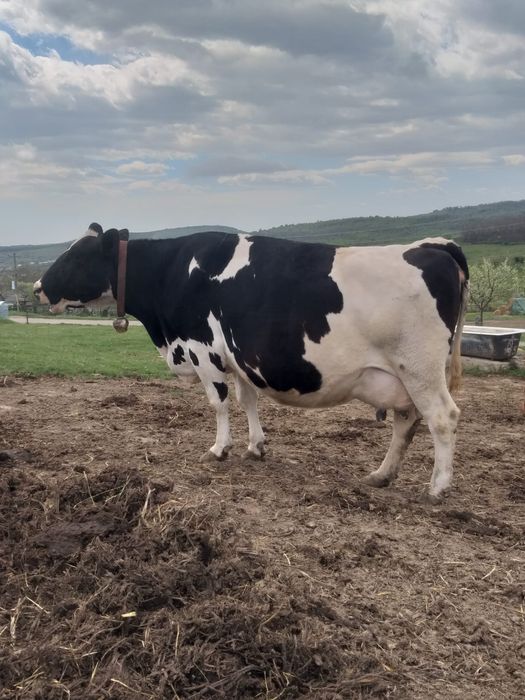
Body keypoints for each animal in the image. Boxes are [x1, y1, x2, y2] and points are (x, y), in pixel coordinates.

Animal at [34, 224, 469, 503]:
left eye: (75, 256)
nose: (38, 287)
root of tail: (433, 246)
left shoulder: (203, 348)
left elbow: (219, 403)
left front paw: (218, 448)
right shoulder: (237, 354)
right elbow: (248, 401)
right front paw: (255, 446)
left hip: (420, 368)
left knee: (442, 417)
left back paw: (437, 488)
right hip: (403, 376)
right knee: (406, 421)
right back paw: (381, 475)